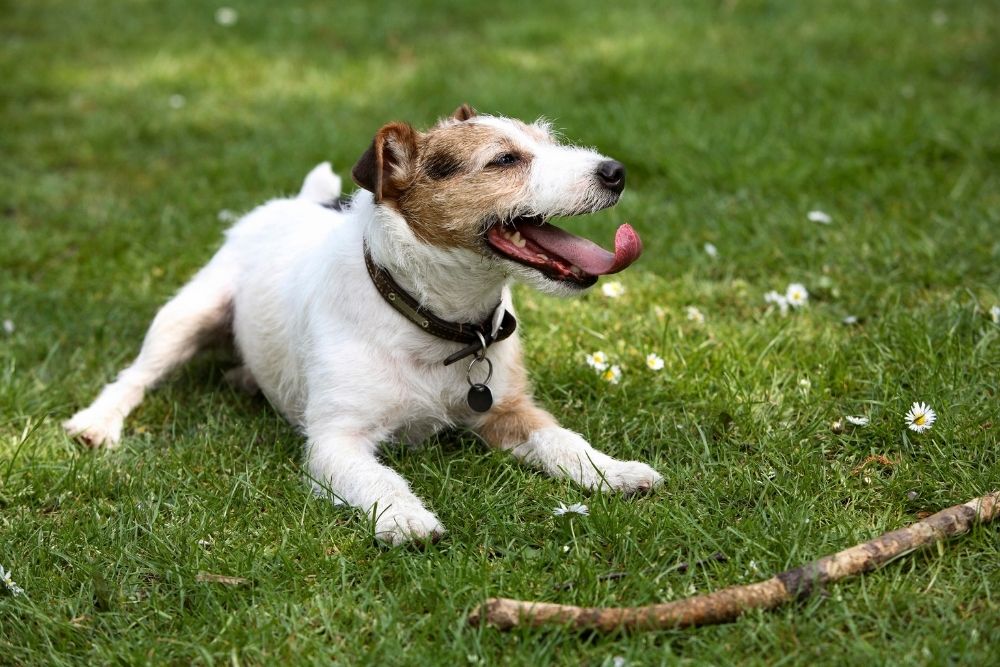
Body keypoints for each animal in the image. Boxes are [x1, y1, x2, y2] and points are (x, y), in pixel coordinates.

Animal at [68, 104, 664, 544]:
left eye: (547, 141)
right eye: (503, 160)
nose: (615, 172)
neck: (434, 324)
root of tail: (297, 202)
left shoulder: (511, 411)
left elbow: (566, 443)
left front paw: (615, 472)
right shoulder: (336, 442)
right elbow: (379, 478)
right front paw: (406, 518)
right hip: (189, 312)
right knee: (136, 376)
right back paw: (98, 422)